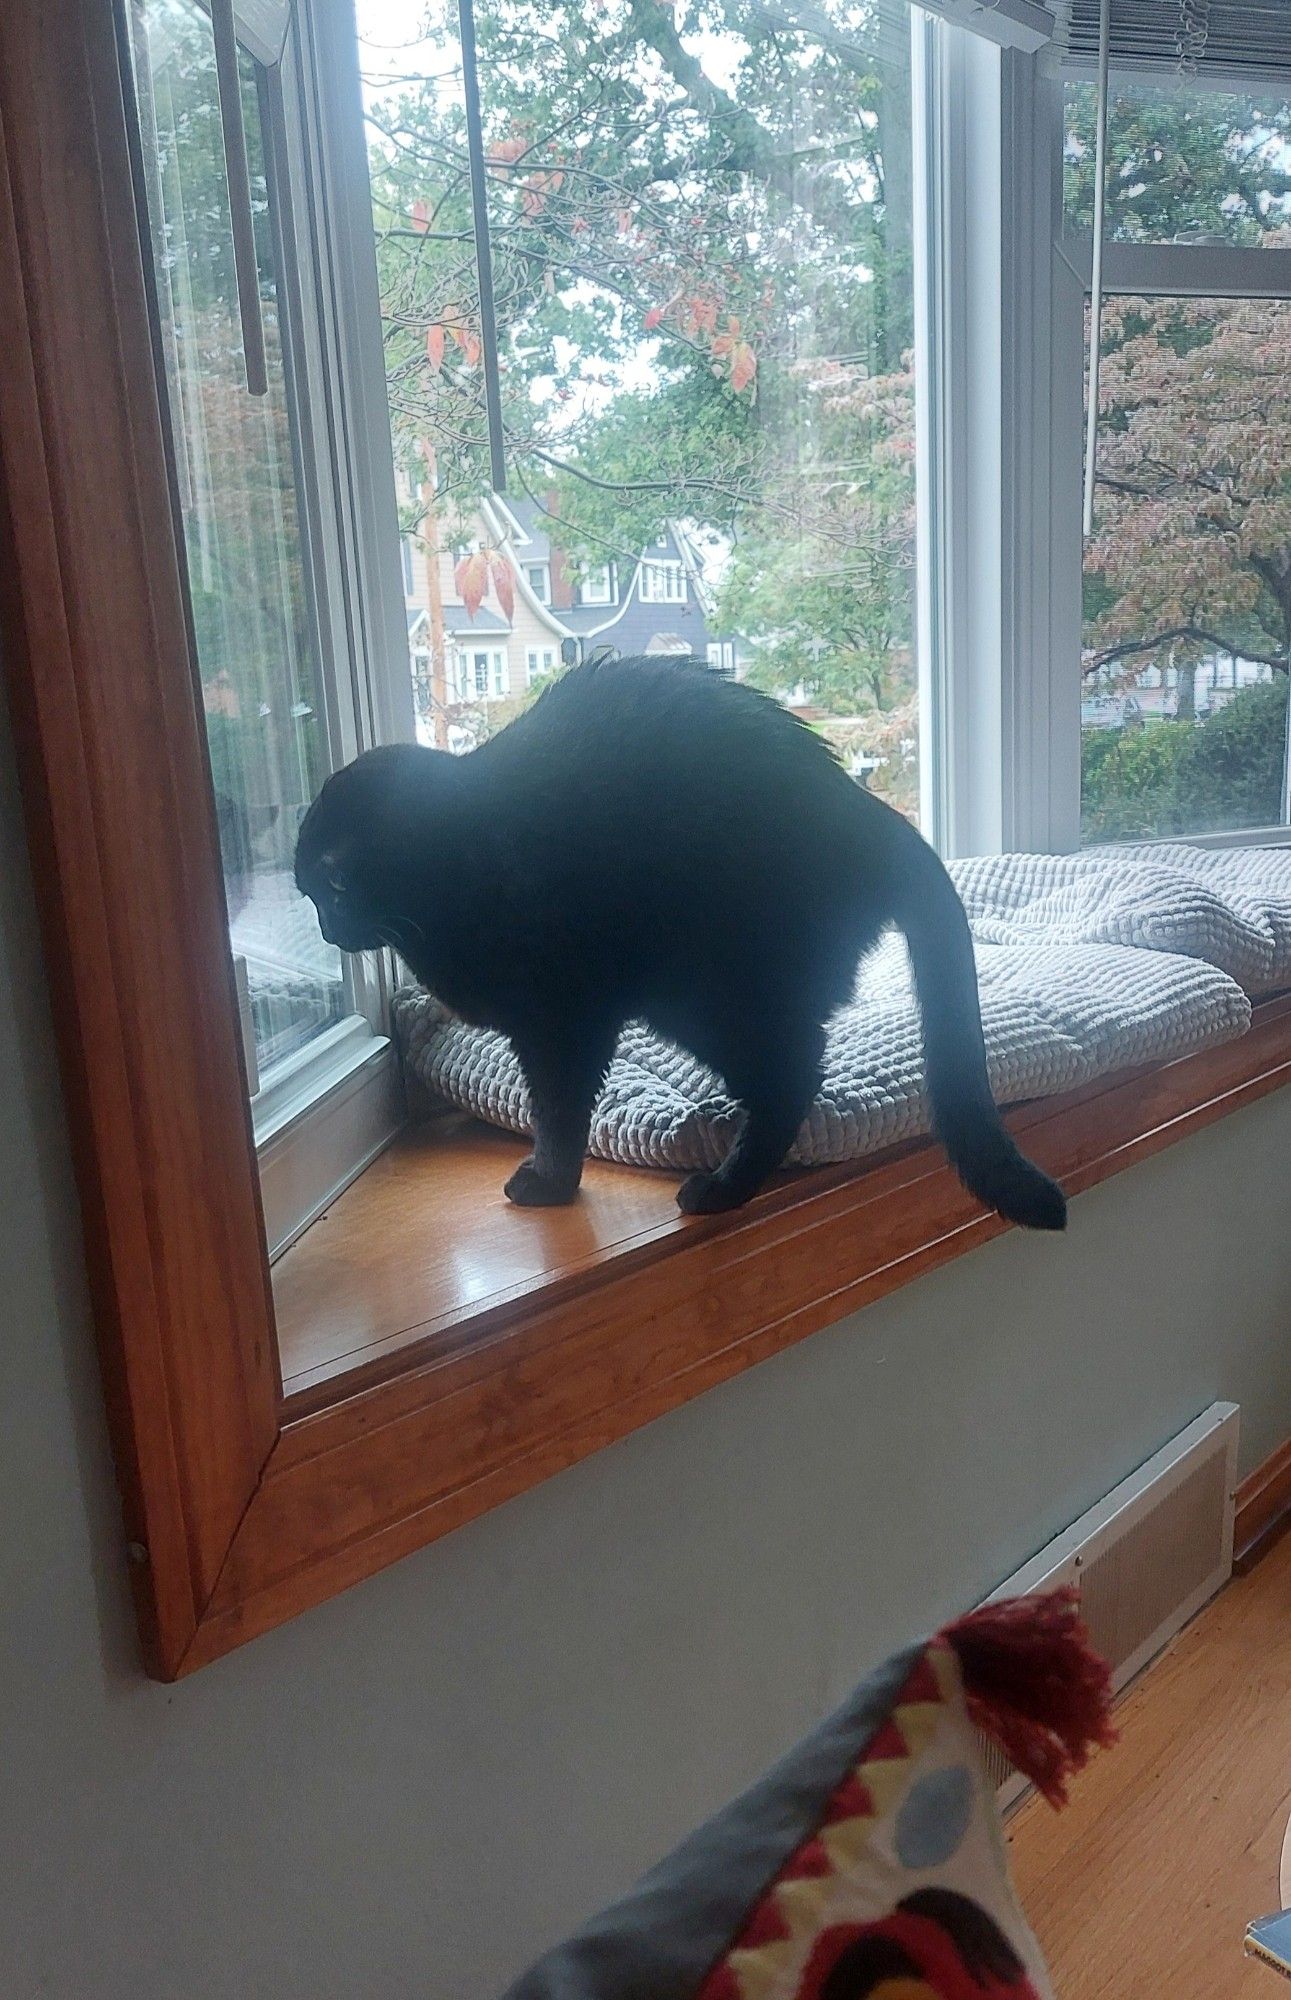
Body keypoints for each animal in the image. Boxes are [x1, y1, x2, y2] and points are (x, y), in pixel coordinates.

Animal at [297, 656, 1071, 1224]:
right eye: (309, 895)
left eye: (334, 882)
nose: (327, 929)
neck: (457, 869)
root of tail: (871, 817)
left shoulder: (562, 1021)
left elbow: (557, 1111)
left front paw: (549, 1182)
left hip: (704, 992)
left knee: (795, 1069)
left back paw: (723, 1186)